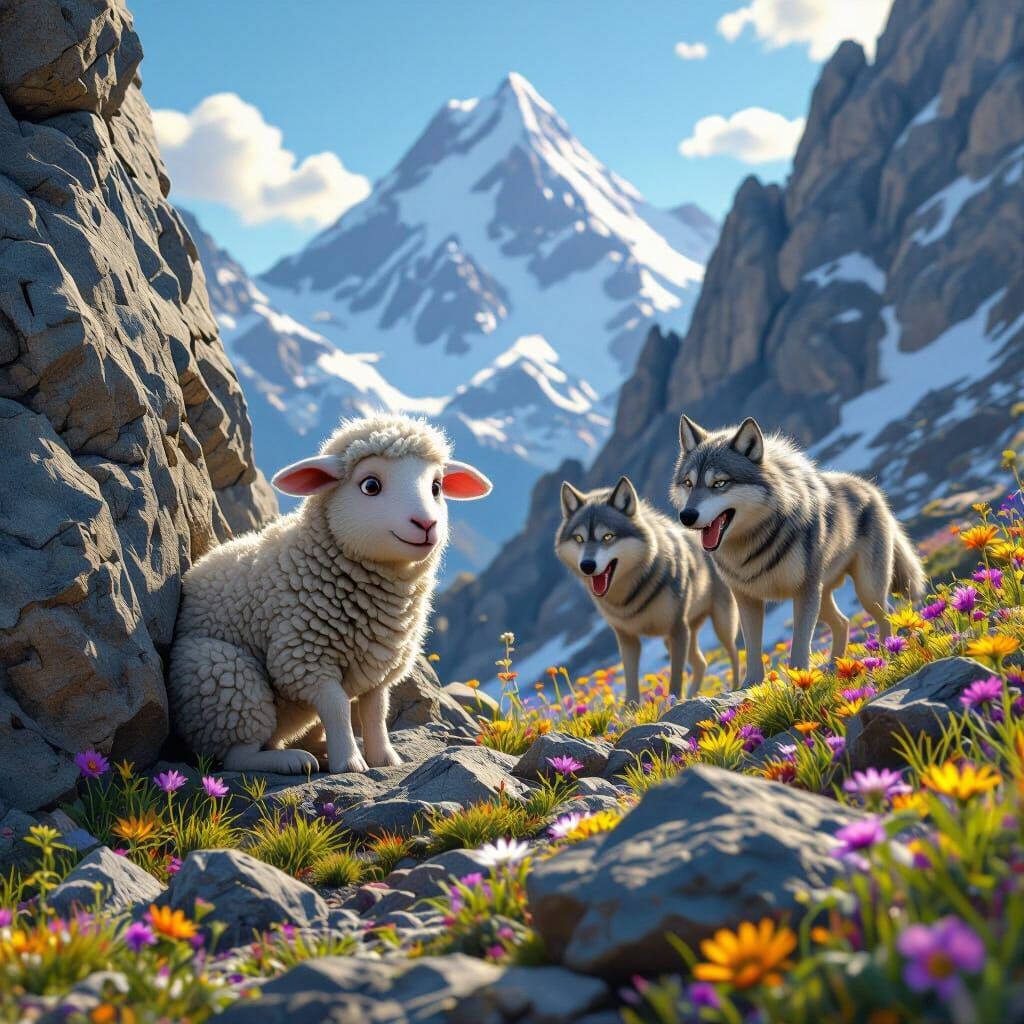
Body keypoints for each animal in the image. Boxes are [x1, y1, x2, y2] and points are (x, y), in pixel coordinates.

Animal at [167, 413, 492, 775]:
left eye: (436, 487)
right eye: (370, 485)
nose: (426, 524)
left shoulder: (379, 667)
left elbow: (375, 711)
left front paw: (384, 758)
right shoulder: (303, 658)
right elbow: (337, 706)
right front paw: (349, 762)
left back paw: (317, 749)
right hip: (222, 676)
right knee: (236, 755)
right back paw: (291, 760)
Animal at [555, 476, 740, 703]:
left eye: (608, 537)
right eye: (579, 538)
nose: (587, 565)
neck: (629, 595)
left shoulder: (678, 629)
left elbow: (675, 680)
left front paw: (672, 702)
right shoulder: (627, 638)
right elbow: (631, 684)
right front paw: (629, 709)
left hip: (720, 625)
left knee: (733, 653)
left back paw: (735, 687)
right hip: (676, 639)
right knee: (701, 663)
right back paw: (692, 696)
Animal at [670, 415, 927, 684]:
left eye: (719, 483)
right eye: (688, 483)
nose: (686, 516)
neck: (751, 543)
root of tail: (869, 488)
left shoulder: (804, 592)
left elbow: (800, 644)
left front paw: (800, 679)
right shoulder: (746, 599)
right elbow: (752, 652)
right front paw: (751, 686)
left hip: (864, 591)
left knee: (886, 614)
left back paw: (887, 652)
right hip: (823, 599)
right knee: (843, 623)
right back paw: (834, 668)